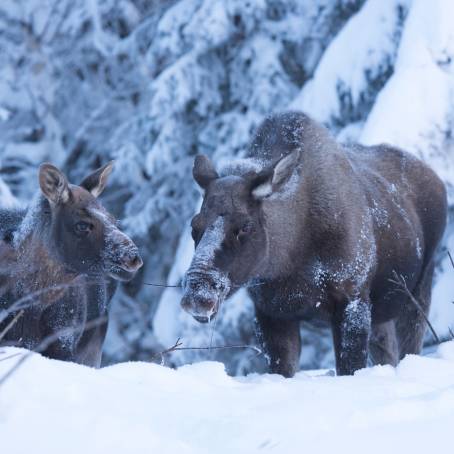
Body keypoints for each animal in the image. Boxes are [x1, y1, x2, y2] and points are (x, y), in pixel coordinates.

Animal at [182, 112, 446, 376]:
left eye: (245, 226)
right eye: (194, 224)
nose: (198, 294)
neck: (291, 257)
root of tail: (438, 181)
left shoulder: (352, 299)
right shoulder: (272, 312)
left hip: (418, 291)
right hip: (382, 315)